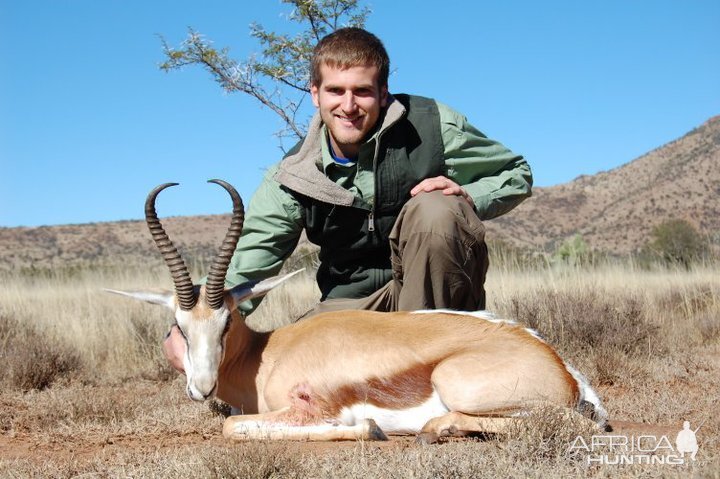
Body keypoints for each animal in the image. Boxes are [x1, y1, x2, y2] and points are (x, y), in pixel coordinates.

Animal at [111, 182, 608, 444]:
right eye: (178, 327)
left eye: (226, 322)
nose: (201, 387)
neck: (265, 355)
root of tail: (562, 369)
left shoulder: (309, 408)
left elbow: (234, 425)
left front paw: (368, 427)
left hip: (460, 385)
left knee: (562, 422)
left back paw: (433, 429)